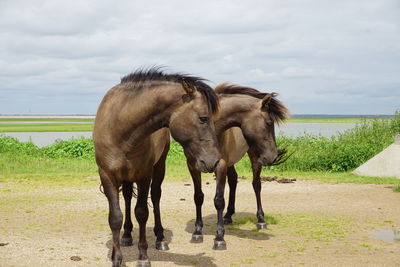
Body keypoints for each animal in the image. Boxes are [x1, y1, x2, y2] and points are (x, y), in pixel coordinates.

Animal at [92, 69, 220, 267]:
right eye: (203, 118)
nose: (214, 161)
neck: (121, 130)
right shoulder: (107, 176)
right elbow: (115, 217)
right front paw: (116, 257)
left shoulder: (144, 176)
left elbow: (142, 213)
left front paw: (143, 256)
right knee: (127, 197)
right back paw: (127, 235)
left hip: (159, 167)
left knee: (156, 196)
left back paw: (160, 239)